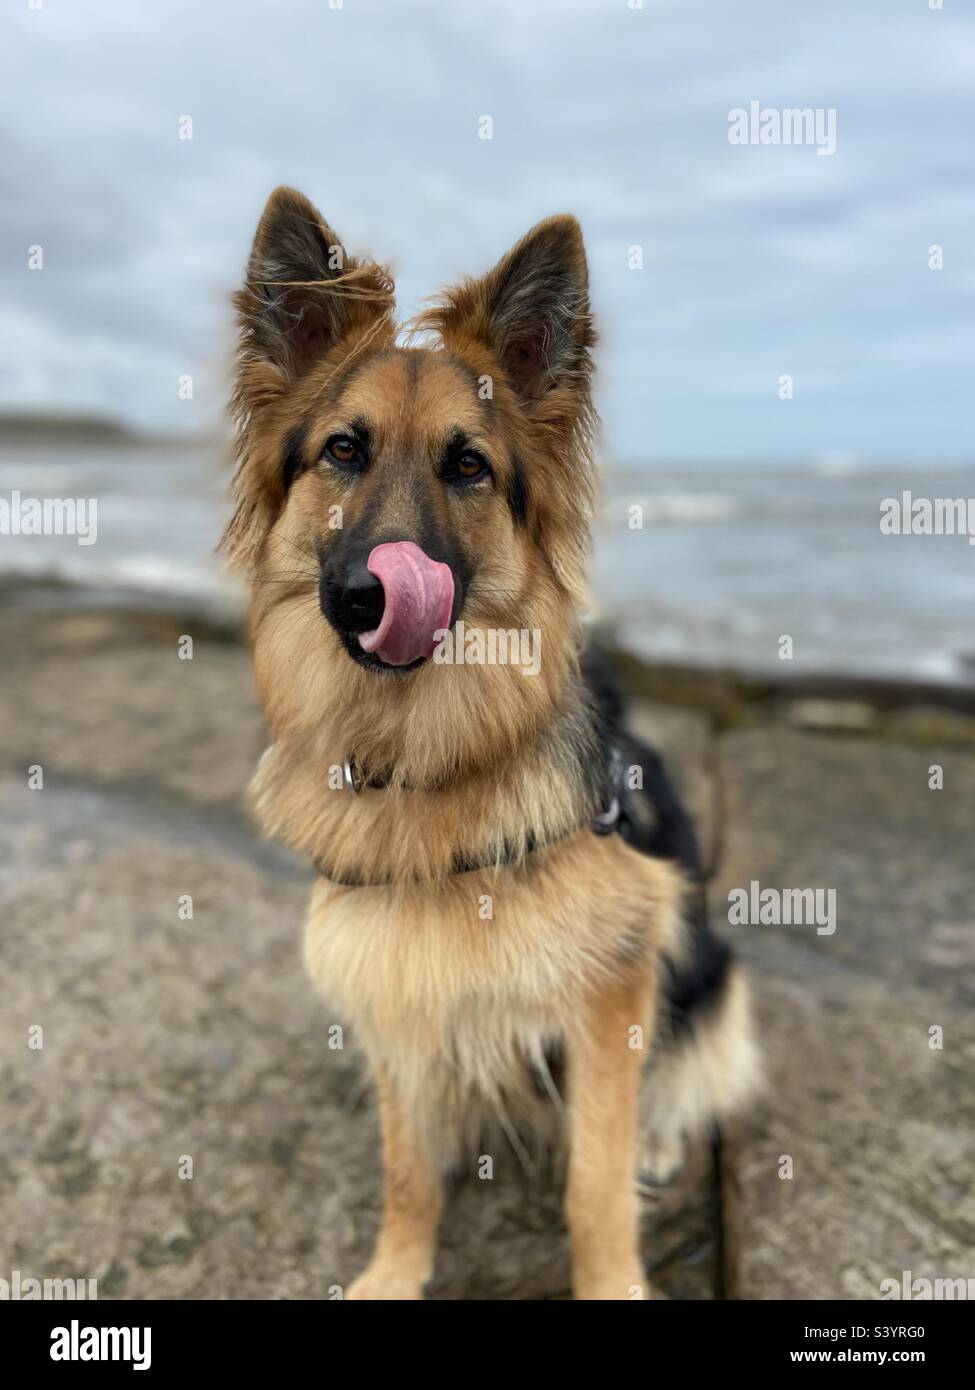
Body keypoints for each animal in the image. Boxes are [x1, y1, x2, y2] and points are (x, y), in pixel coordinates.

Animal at [223, 190, 756, 1295]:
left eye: (467, 465)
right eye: (343, 451)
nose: (371, 595)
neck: (424, 754)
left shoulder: (614, 982)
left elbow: (593, 1182)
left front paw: (612, 1280)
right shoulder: (388, 978)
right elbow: (405, 1169)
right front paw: (394, 1271)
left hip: (713, 976)